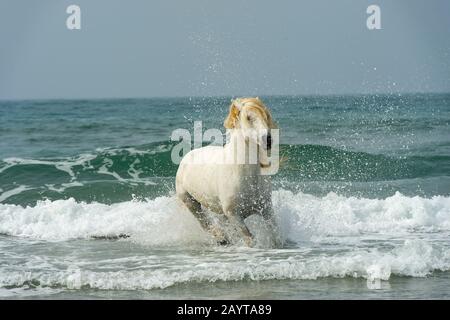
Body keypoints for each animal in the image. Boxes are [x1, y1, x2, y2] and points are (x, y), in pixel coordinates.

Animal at [177, 97, 280, 248]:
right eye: (248, 117)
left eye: (266, 115)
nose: (268, 140)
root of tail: (187, 156)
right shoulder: (233, 214)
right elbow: (249, 239)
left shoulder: (266, 208)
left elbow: (275, 234)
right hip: (189, 201)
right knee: (204, 222)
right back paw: (221, 239)